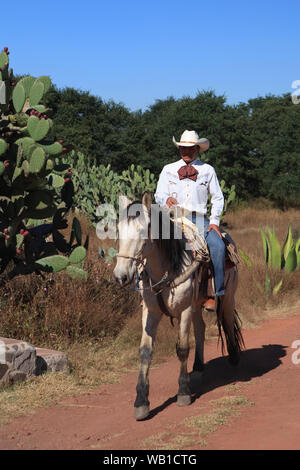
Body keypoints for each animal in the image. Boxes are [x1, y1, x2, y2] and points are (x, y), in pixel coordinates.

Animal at [112, 193, 244, 420]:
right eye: (119, 230)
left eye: (142, 230)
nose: (121, 276)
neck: (167, 268)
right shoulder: (151, 311)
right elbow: (145, 351)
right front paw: (141, 402)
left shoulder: (184, 310)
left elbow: (182, 348)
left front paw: (183, 392)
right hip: (197, 304)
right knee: (200, 329)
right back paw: (198, 368)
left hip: (226, 297)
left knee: (227, 320)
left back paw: (234, 356)